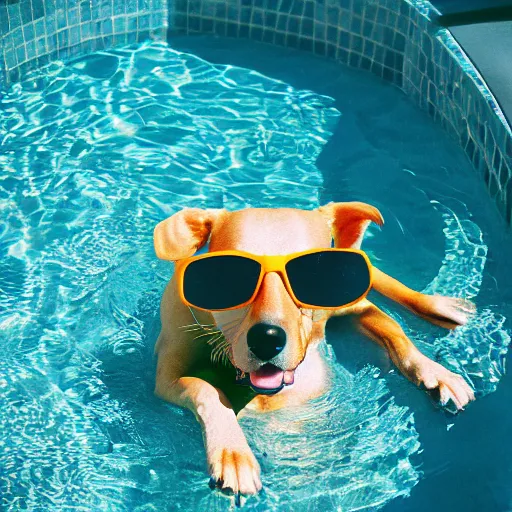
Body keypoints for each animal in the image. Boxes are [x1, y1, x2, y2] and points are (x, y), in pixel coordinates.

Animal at [153, 202, 476, 502]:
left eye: (313, 275)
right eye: (226, 276)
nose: (267, 339)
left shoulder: (354, 306)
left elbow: (396, 334)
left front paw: (436, 373)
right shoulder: (167, 376)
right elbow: (206, 389)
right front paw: (232, 450)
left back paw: (437, 306)